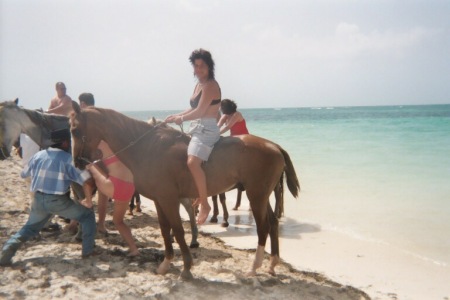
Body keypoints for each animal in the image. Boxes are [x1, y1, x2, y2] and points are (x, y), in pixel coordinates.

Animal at [69, 102, 298, 278]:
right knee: (273, 223)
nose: (77, 162)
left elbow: (178, 230)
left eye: (74, 130)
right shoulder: (160, 200)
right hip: (262, 196)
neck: (149, 148)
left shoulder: (169, 199)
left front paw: (186, 267)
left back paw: (254, 267)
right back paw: (272, 263)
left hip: (256, 196)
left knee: (263, 227)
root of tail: (274, 146)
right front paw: (166, 264)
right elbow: (165, 229)